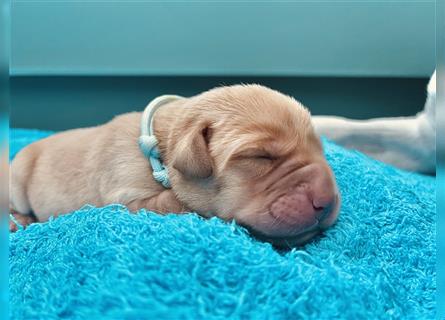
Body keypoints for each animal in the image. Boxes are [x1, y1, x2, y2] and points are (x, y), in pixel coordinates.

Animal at [11, 85, 340, 248]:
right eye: (260, 157)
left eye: (320, 149)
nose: (326, 201)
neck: (161, 145)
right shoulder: (126, 197)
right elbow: (176, 202)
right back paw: (18, 221)